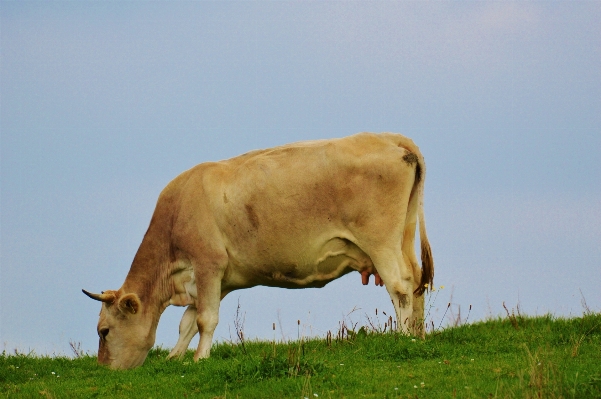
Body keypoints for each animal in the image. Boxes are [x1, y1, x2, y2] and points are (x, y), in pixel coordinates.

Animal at [83, 133, 432, 370]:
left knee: (400, 285)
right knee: (416, 281)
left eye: (104, 331)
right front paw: (175, 357)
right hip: (403, 235)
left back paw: (404, 336)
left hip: (380, 240)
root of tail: (389, 137)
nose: (104, 370)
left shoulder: (208, 264)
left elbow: (204, 320)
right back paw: (419, 334)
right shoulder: (213, 280)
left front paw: (199, 359)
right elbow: (187, 321)